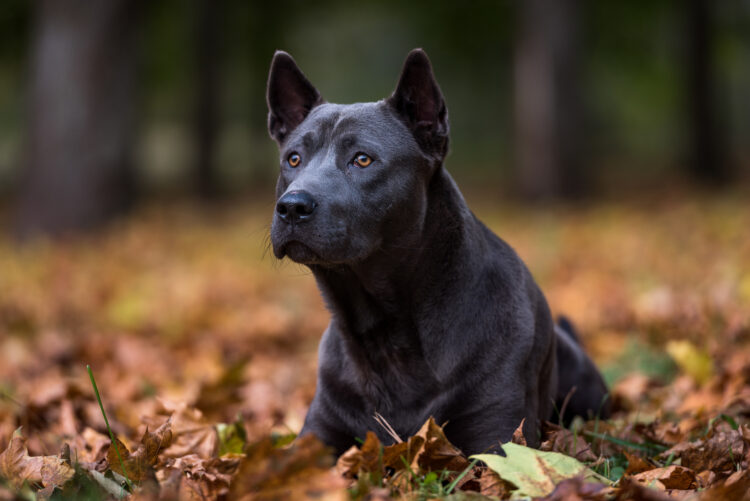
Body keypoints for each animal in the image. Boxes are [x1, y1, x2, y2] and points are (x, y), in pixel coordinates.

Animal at [268, 48, 608, 456]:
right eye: (294, 159)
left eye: (362, 159)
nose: (292, 207)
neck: (385, 332)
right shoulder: (319, 434)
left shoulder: (497, 436)